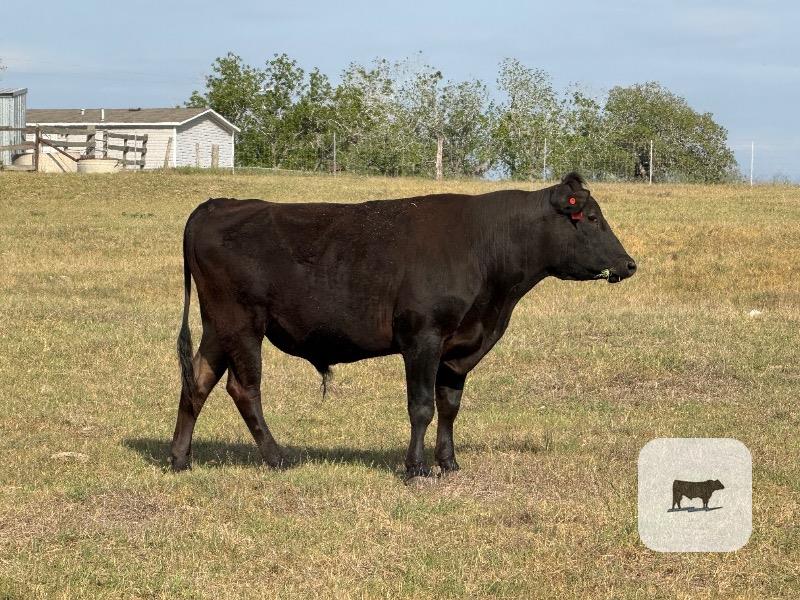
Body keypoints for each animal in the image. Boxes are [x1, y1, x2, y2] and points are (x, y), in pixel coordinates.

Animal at [171, 172, 637, 479]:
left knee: (198, 380)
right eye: (591, 218)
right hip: (241, 322)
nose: (629, 264)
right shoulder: (423, 338)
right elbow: (422, 406)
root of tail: (218, 204)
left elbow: (450, 406)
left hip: (218, 326)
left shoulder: (459, 346)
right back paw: (277, 457)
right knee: (243, 388)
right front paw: (416, 468)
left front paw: (448, 463)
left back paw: (180, 458)